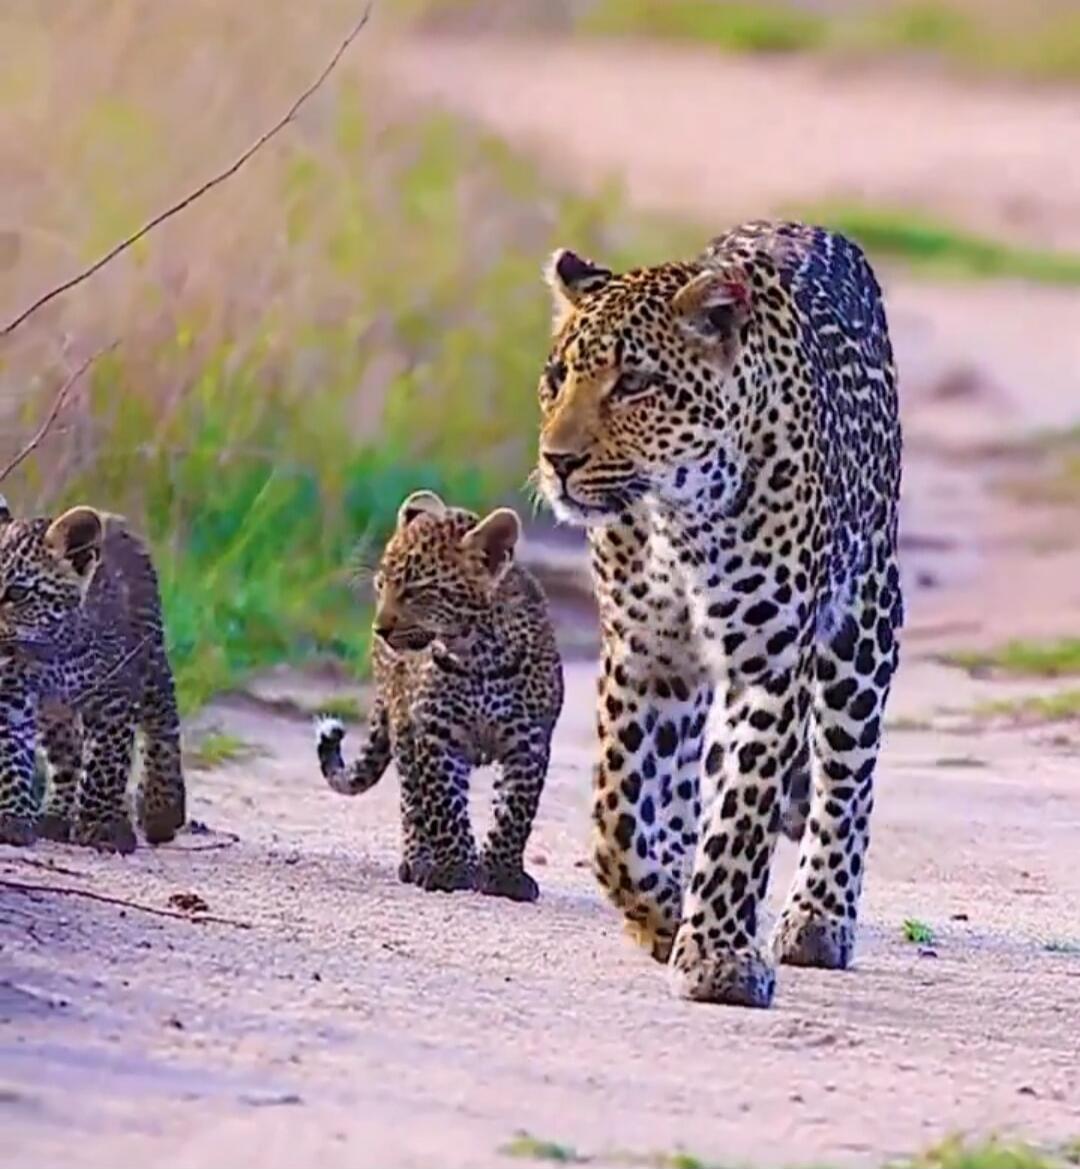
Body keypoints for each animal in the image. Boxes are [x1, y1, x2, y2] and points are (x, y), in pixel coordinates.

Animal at [0, 495, 186, 853]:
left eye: (16, 594)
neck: (53, 652)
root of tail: (112, 519)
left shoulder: (113, 697)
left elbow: (105, 763)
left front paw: (102, 827)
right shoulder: (11, 693)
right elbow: (12, 753)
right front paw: (12, 819)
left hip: (152, 661)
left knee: (163, 727)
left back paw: (162, 810)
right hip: (55, 715)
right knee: (68, 755)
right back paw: (55, 815)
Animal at [315, 491, 564, 902]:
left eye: (417, 592)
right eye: (381, 586)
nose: (379, 629)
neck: (478, 655)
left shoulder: (527, 741)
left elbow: (514, 812)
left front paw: (503, 876)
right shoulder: (436, 733)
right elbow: (444, 806)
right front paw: (455, 869)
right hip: (402, 727)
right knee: (412, 802)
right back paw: (418, 860)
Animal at [532, 219, 902, 1008]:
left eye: (634, 384)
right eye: (556, 378)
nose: (557, 460)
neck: (677, 517)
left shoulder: (768, 663)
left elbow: (741, 813)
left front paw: (719, 957)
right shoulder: (645, 654)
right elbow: (620, 814)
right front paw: (660, 909)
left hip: (864, 627)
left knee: (846, 777)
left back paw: (819, 915)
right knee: (675, 783)